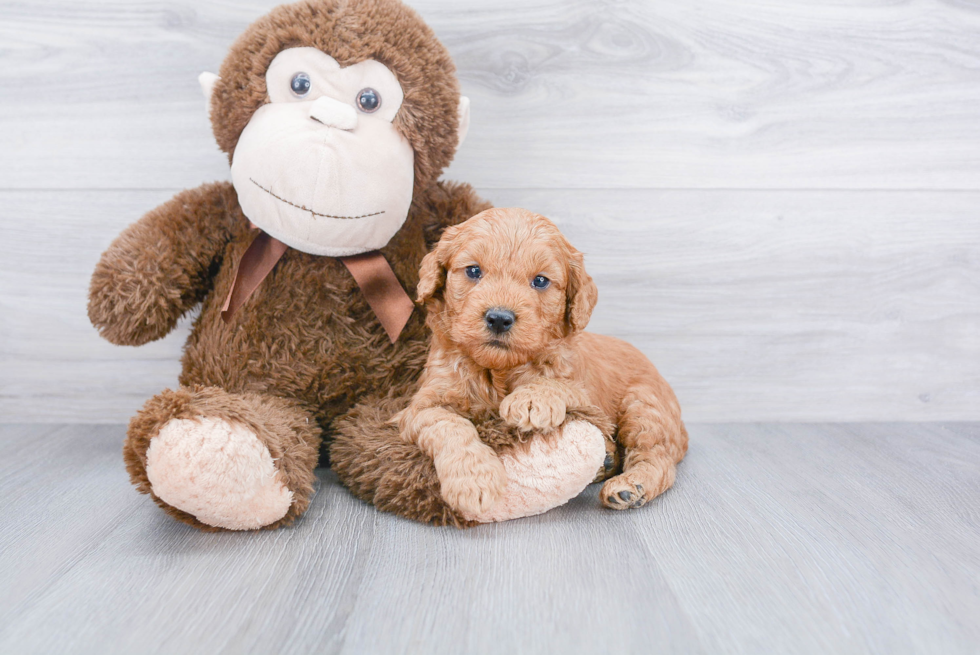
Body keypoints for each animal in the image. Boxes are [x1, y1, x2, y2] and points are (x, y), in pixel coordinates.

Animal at [398, 208, 688, 516]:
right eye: (474, 271)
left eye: (540, 281)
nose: (499, 318)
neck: (499, 369)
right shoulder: (422, 406)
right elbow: (449, 425)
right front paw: (474, 480)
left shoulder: (587, 393)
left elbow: (558, 384)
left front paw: (530, 399)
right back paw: (606, 461)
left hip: (643, 406)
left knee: (656, 456)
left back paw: (631, 486)